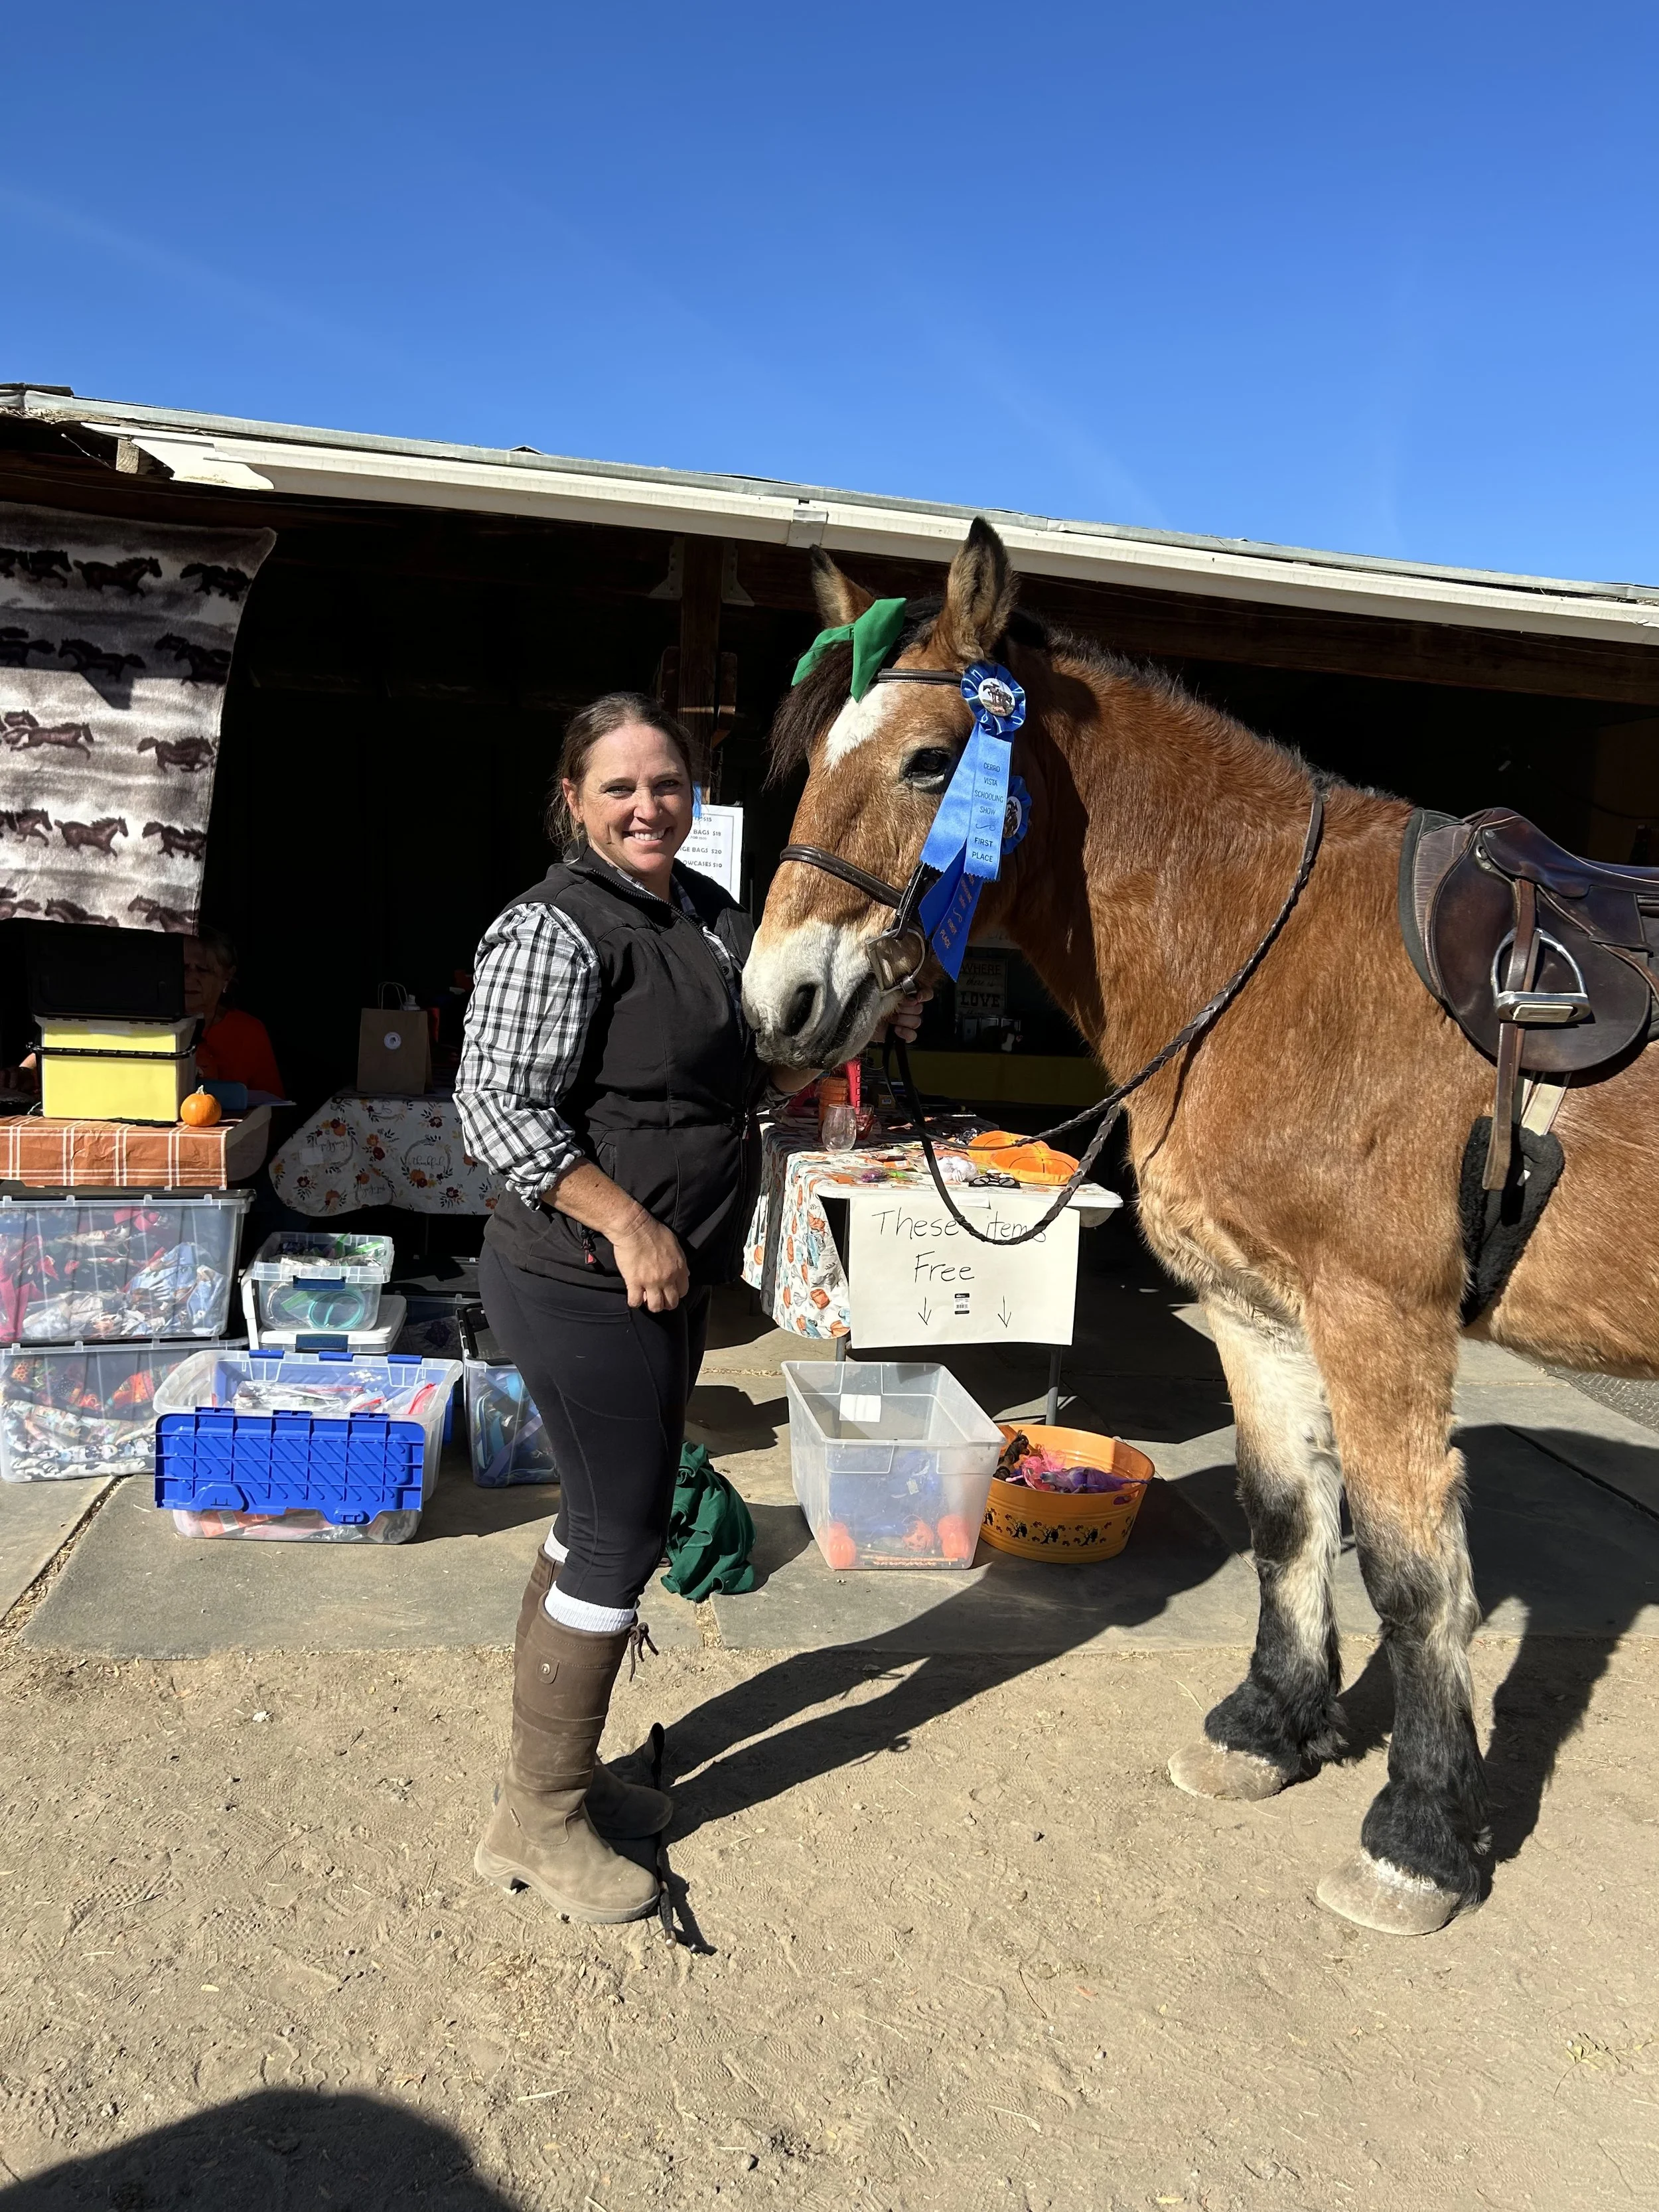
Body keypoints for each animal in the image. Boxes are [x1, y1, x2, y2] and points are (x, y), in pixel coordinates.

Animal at [742, 517, 1659, 1939]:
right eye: (813, 760)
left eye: (931, 760)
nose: (772, 1000)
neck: (1272, 954)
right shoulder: (1253, 1305)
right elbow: (1286, 1515)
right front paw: (1270, 1726)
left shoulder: (1379, 1317)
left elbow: (1416, 1574)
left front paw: (1416, 1838)